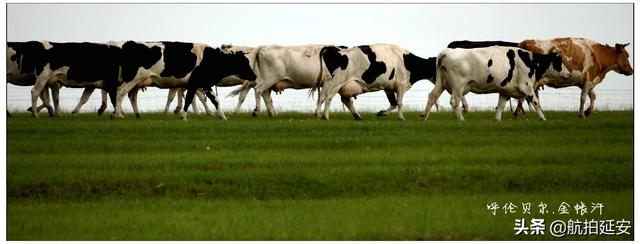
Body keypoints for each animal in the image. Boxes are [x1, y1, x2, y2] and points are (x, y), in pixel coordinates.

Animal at [110, 41, 258, 121]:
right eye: (244, 63)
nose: (254, 76)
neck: (209, 59)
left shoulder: (203, 83)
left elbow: (214, 100)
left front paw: (223, 117)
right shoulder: (195, 82)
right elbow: (189, 99)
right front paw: (184, 116)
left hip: (136, 82)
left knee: (130, 95)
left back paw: (133, 115)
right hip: (132, 79)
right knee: (121, 92)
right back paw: (117, 114)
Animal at [424, 45, 564, 120]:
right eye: (559, 62)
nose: (567, 73)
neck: (529, 61)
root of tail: (447, 51)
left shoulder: (505, 90)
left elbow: (501, 105)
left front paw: (497, 120)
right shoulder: (527, 86)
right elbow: (535, 102)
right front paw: (543, 118)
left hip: (441, 82)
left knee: (432, 96)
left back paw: (424, 117)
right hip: (458, 85)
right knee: (454, 101)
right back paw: (461, 120)